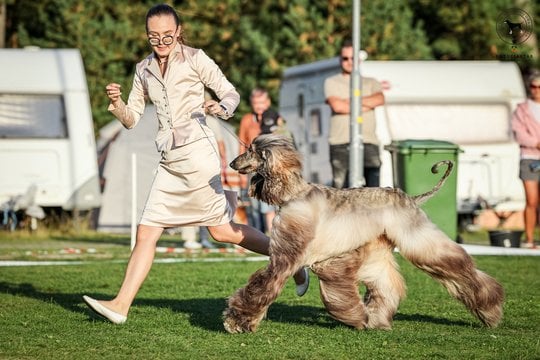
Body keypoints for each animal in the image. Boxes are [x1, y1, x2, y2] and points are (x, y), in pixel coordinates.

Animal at [223, 134, 502, 334]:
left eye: (251, 150)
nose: (231, 163)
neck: (293, 195)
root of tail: (411, 198)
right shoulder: (329, 259)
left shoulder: (286, 256)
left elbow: (262, 285)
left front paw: (237, 321)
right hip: (376, 251)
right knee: (386, 285)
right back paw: (376, 320)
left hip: (419, 239)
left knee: (456, 264)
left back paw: (491, 308)